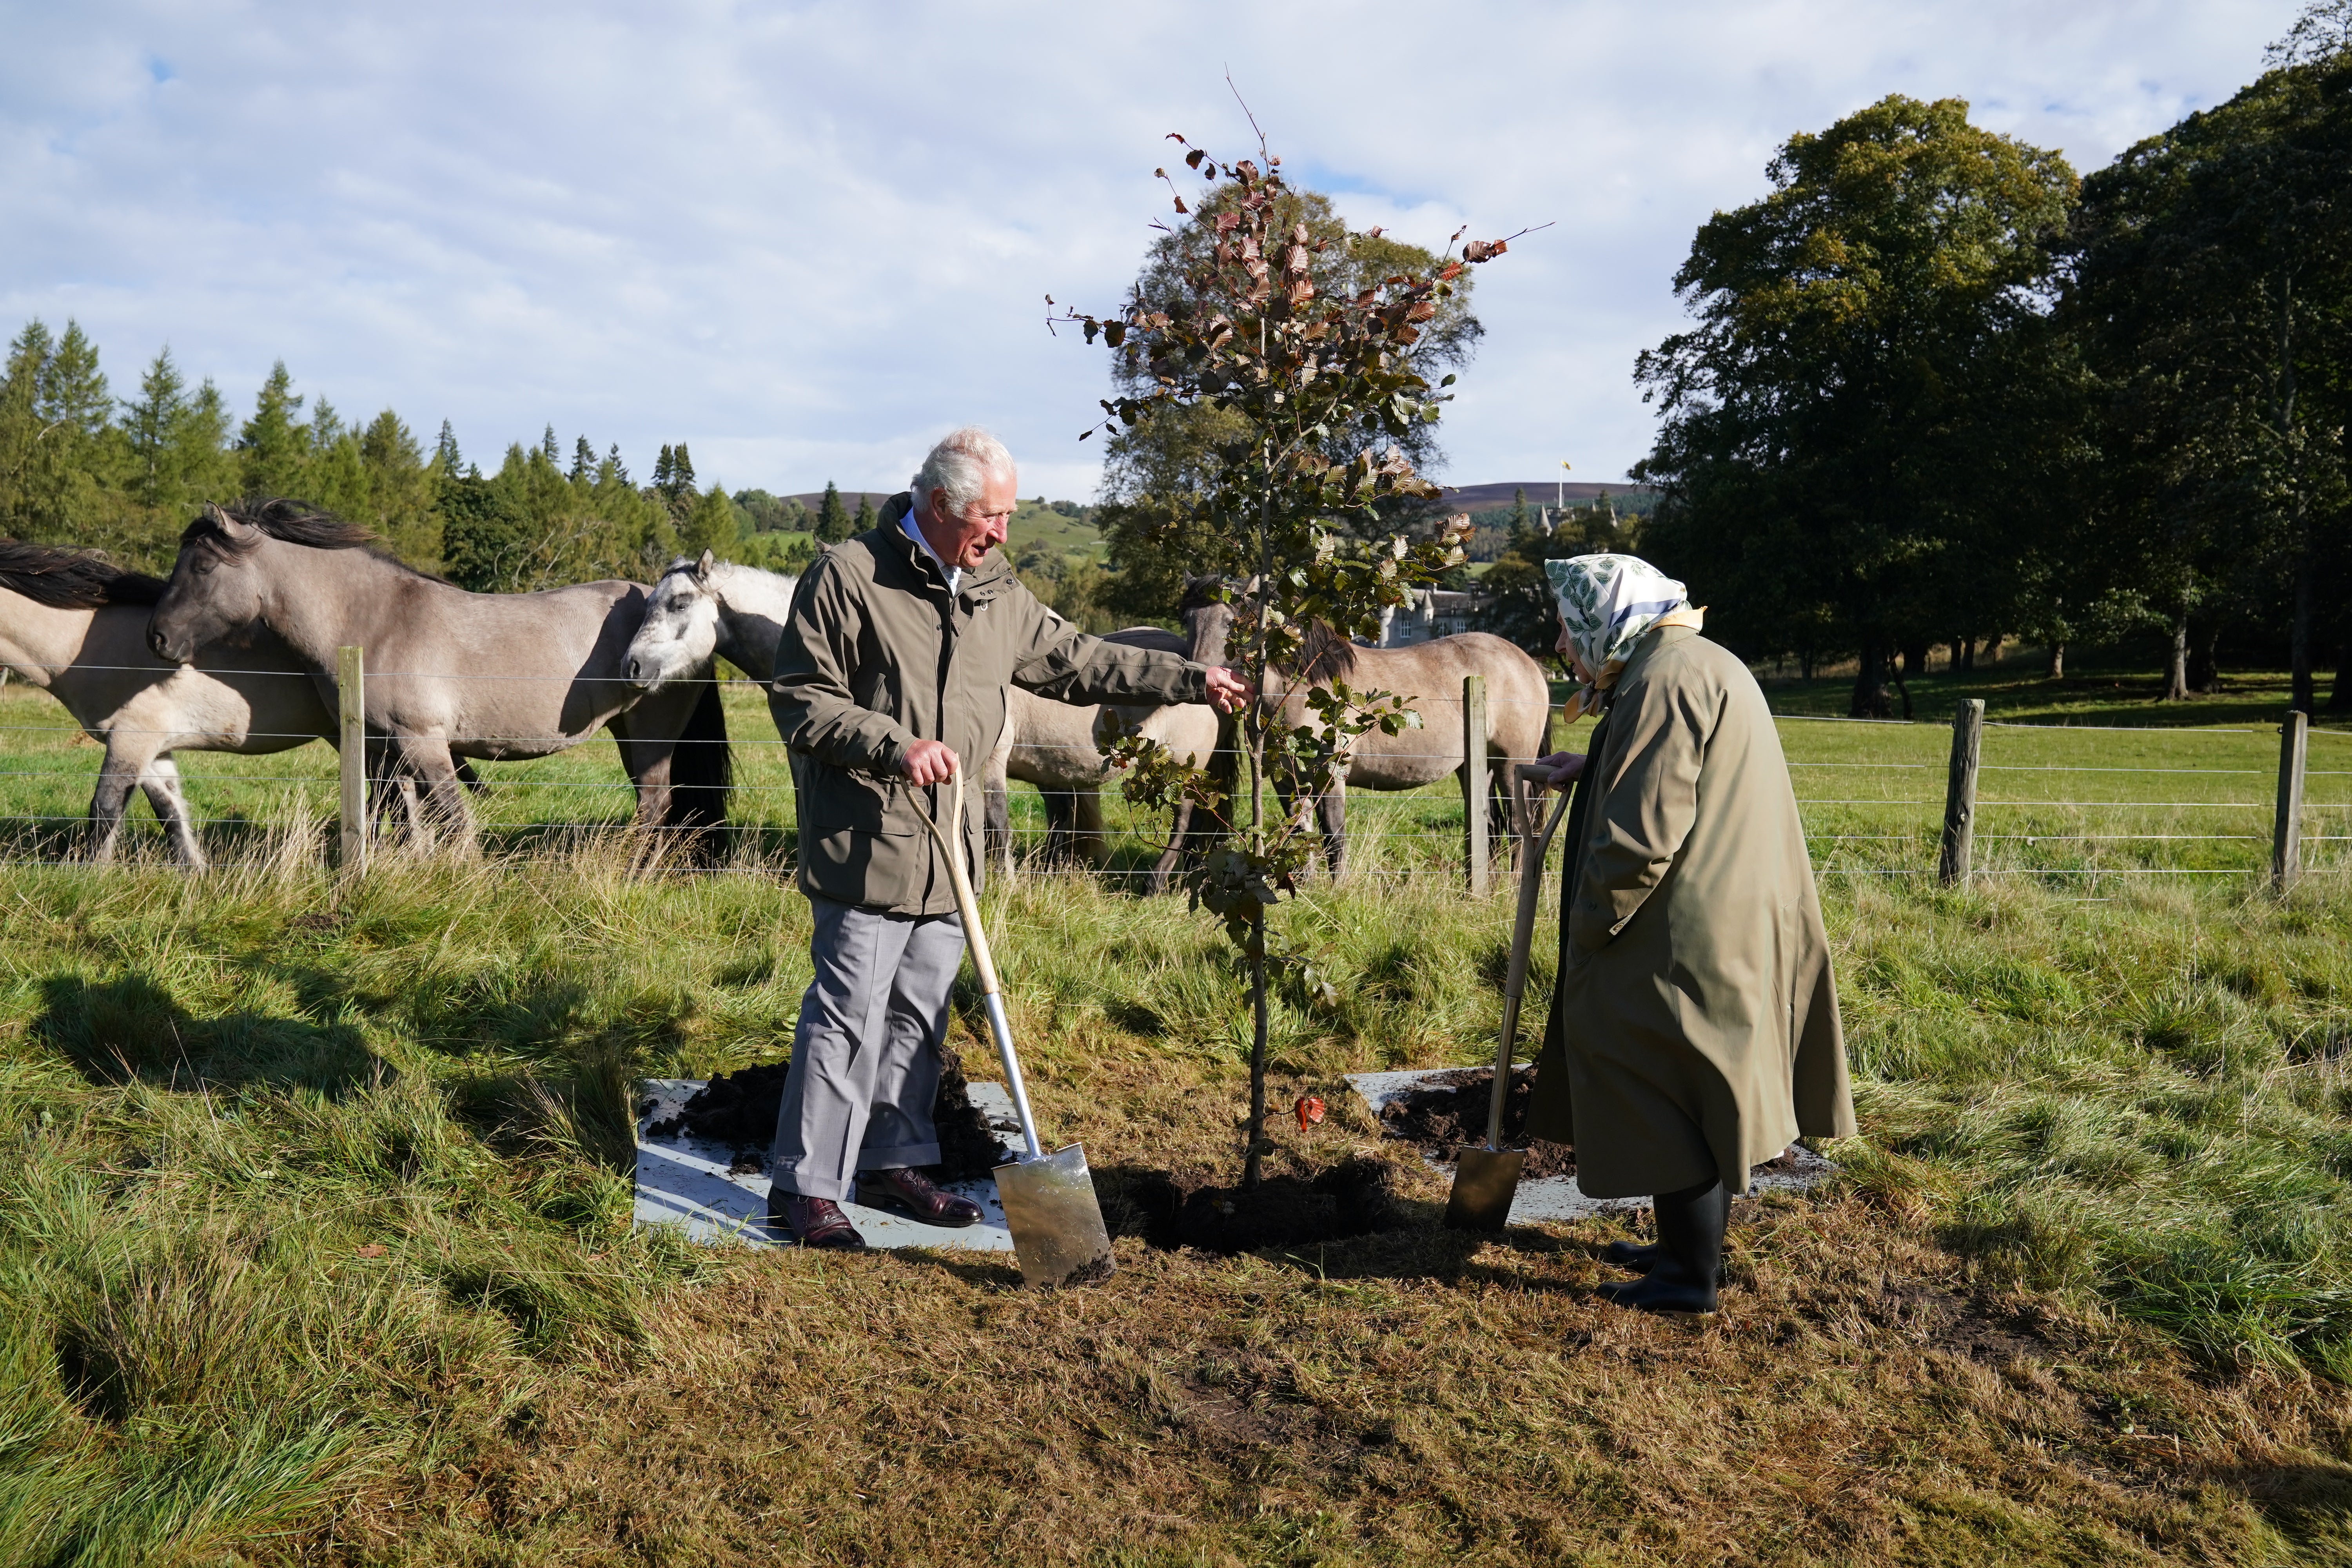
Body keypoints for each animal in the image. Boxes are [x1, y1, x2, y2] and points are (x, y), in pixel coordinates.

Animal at [152, 496, 729, 860]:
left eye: (202, 567)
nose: (157, 637)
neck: (379, 620)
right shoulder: (384, 748)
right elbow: (403, 819)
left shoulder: (424, 742)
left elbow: (453, 819)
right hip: (630, 735)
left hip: (651, 735)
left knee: (656, 805)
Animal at [1185, 588, 1552, 884]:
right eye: (1187, 617)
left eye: (1230, 621)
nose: (1201, 673)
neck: (1305, 685)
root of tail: (1528, 663)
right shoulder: (1286, 782)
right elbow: (1300, 833)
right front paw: (1303, 889)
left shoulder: (1331, 777)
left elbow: (1334, 837)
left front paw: (1337, 891)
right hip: (1475, 768)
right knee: (1488, 825)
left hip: (1511, 765)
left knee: (1518, 827)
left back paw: (1512, 886)